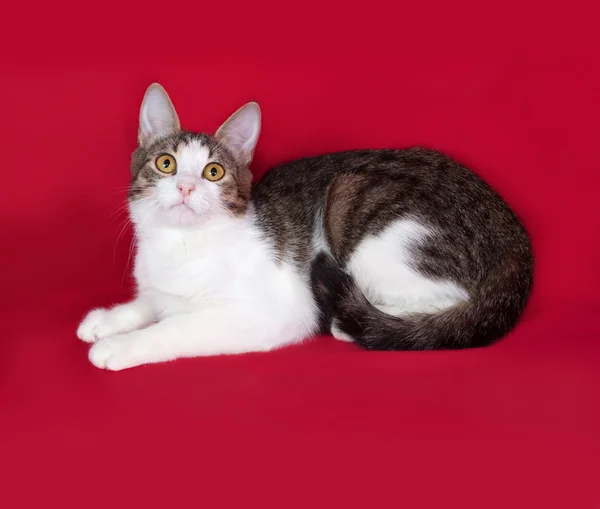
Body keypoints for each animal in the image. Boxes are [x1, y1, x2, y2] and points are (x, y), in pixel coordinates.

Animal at [77, 83, 532, 370]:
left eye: (213, 172)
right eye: (166, 163)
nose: (186, 187)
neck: (180, 245)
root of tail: (512, 232)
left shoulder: (268, 314)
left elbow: (177, 326)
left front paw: (122, 345)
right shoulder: (159, 286)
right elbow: (151, 302)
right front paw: (109, 319)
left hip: (358, 208)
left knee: (446, 304)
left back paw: (356, 324)